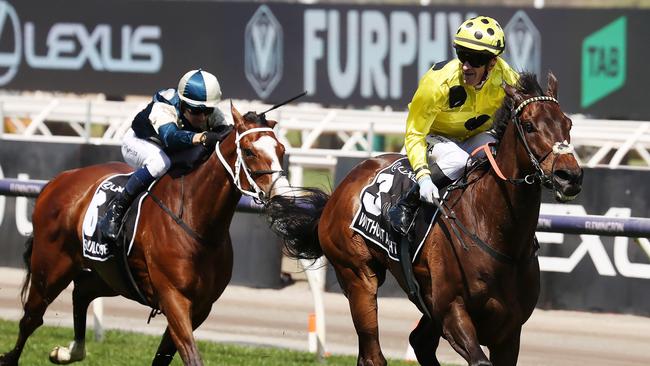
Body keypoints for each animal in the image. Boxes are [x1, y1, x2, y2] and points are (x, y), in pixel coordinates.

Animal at [0, 105, 288, 366]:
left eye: (281, 151)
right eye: (249, 151)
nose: (281, 196)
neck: (197, 222)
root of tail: (58, 181)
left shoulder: (201, 307)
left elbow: (163, 357)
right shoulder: (173, 298)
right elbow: (192, 356)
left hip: (112, 275)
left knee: (81, 291)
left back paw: (69, 352)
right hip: (50, 268)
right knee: (31, 318)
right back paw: (11, 357)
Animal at [268, 73, 584, 364]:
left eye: (568, 124)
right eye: (529, 126)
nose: (569, 176)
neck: (497, 235)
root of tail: (342, 187)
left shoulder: (508, 331)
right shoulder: (452, 312)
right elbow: (477, 358)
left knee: (417, 341)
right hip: (357, 275)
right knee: (373, 354)